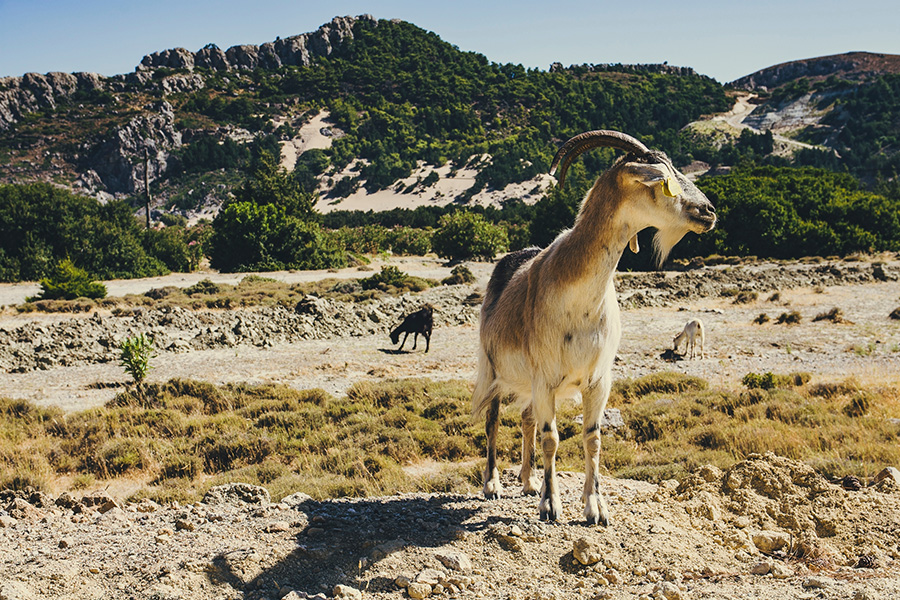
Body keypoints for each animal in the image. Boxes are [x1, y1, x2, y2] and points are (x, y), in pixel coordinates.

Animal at [472, 129, 716, 524]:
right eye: (663, 179)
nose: (708, 212)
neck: (579, 301)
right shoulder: (545, 378)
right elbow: (551, 439)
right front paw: (551, 505)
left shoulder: (597, 380)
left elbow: (592, 438)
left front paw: (594, 507)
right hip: (493, 368)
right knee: (494, 421)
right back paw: (493, 485)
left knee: (526, 419)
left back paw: (527, 482)